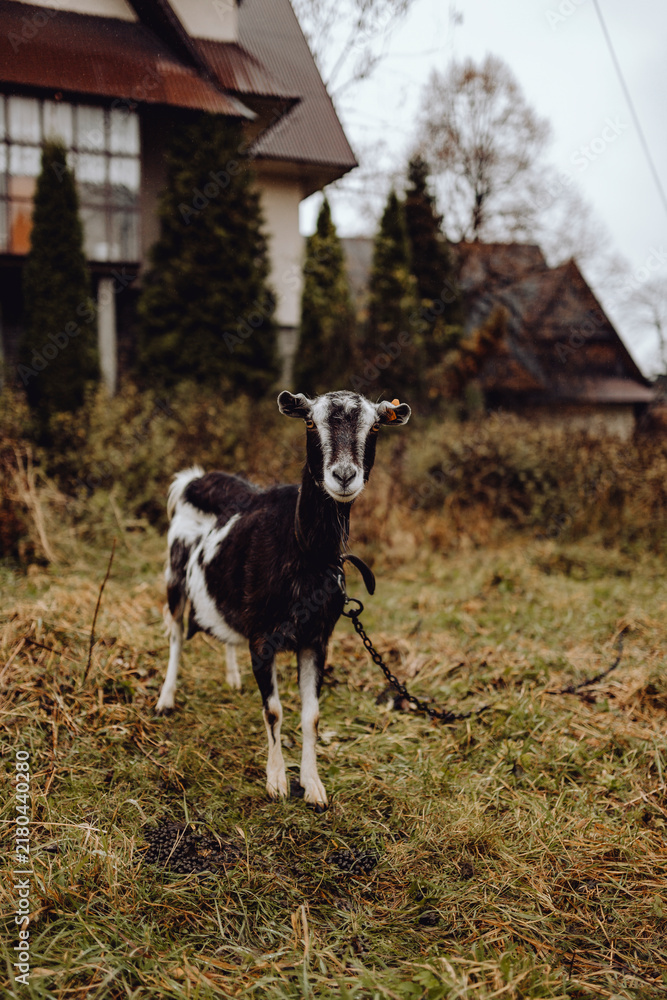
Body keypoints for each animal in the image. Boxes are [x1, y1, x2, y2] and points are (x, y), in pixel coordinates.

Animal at [156, 390, 411, 810]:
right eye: (309, 421)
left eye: (375, 426)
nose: (344, 476)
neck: (302, 549)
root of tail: (198, 480)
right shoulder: (263, 636)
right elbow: (274, 711)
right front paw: (276, 782)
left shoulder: (316, 640)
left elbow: (312, 715)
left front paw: (313, 786)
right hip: (175, 576)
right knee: (176, 634)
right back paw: (165, 700)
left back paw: (232, 679)